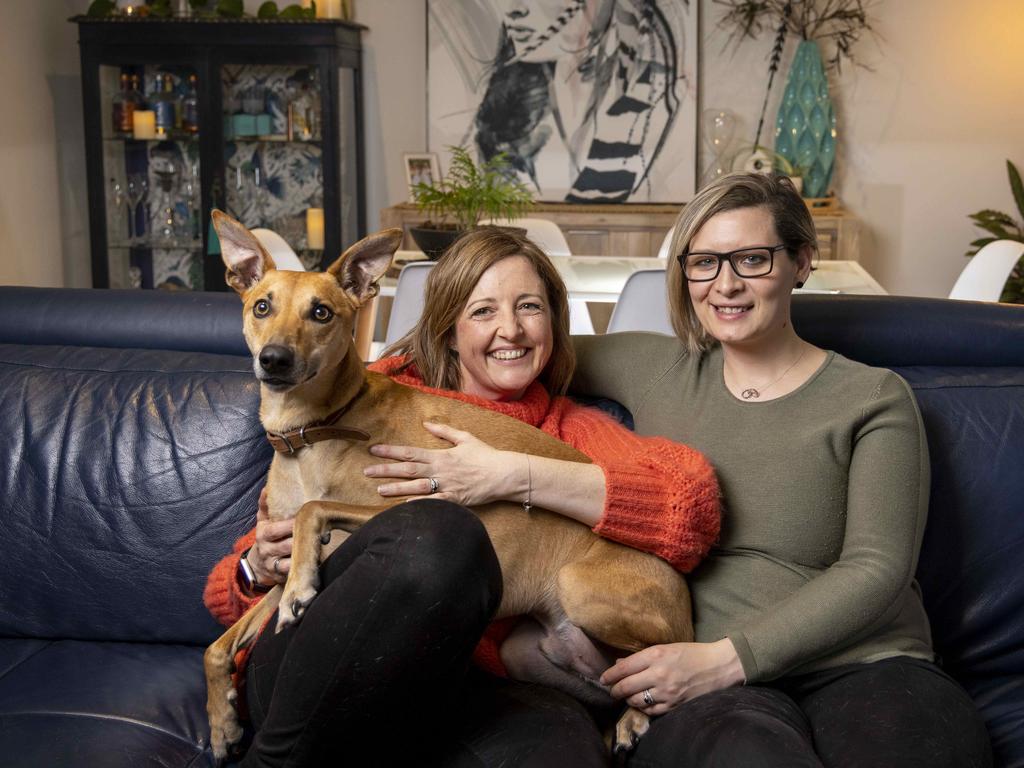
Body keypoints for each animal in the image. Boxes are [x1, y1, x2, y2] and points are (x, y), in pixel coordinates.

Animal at [202, 211, 692, 765]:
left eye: (321, 312)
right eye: (261, 306)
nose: (275, 359)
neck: (313, 431)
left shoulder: (411, 497)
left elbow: (314, 511)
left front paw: (301, 590)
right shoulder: (279, 561)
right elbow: (218, 647)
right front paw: (222, 724)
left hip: (583, 592)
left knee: (667, 666)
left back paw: (638, 715)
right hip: (534, 651)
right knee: (621, 681)